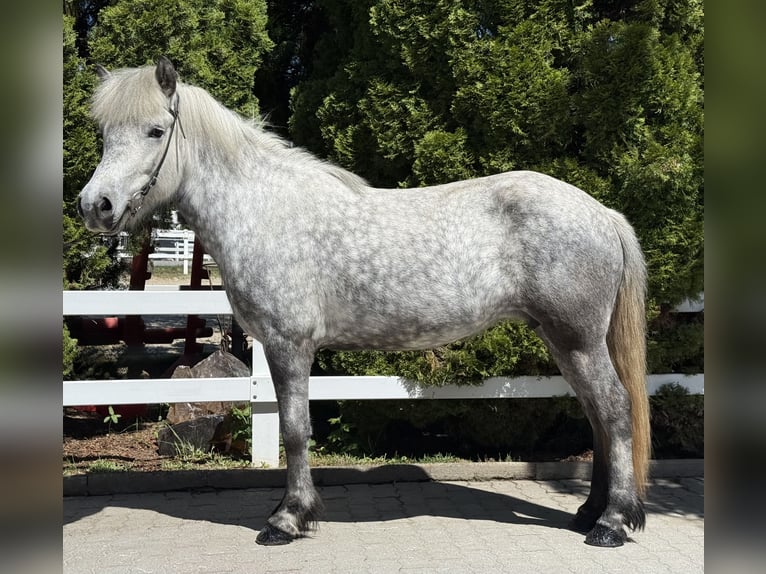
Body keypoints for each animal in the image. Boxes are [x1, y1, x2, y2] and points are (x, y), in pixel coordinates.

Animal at [77, 57, 650, 548]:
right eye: (105, 135)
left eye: (155, 131)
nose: (94, 206)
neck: (263, 210)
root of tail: (601, 213)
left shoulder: (288, 346)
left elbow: (295, 431)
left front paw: (288, 519)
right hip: (566, 342)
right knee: (598, 416)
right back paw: (589, 513)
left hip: (577, 340)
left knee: (614, 410)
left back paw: (612, 523)